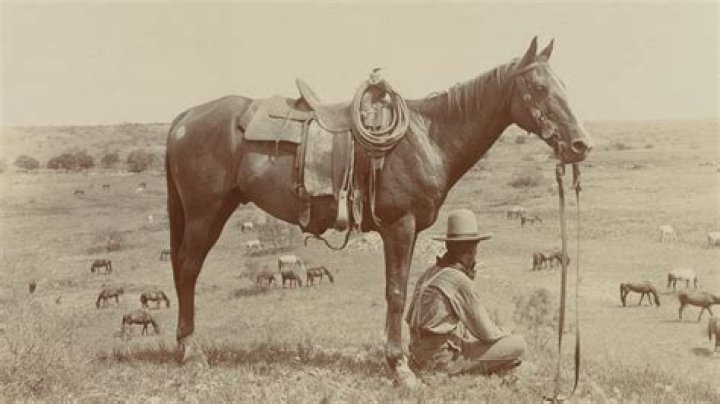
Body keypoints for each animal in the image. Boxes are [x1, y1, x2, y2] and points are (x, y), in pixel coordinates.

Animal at [164, 37, 592, 385]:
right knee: (187, 269)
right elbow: (396, 293)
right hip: (205, 213)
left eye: (564, 85)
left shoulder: (411, 229)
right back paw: (190, 351)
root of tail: (184, 118)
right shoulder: (399, 226)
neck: (427, 137)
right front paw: (399, 367)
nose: (580, 145)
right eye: (539, 87)